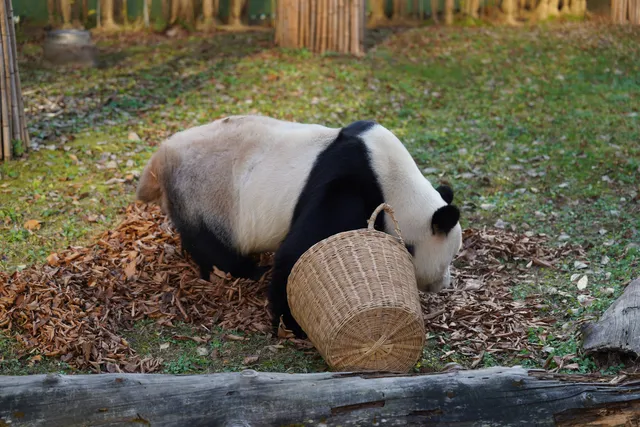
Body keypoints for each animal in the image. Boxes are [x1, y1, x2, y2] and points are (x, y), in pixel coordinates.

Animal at [136, 115, 462, 338]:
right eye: (448, 258)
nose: (444, 284)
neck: (394, 181)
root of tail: (160, 159)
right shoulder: (349, 180)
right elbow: (300, 249)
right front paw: (291, 322)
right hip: (208, 195)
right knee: (214, 248)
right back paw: (248, 270)